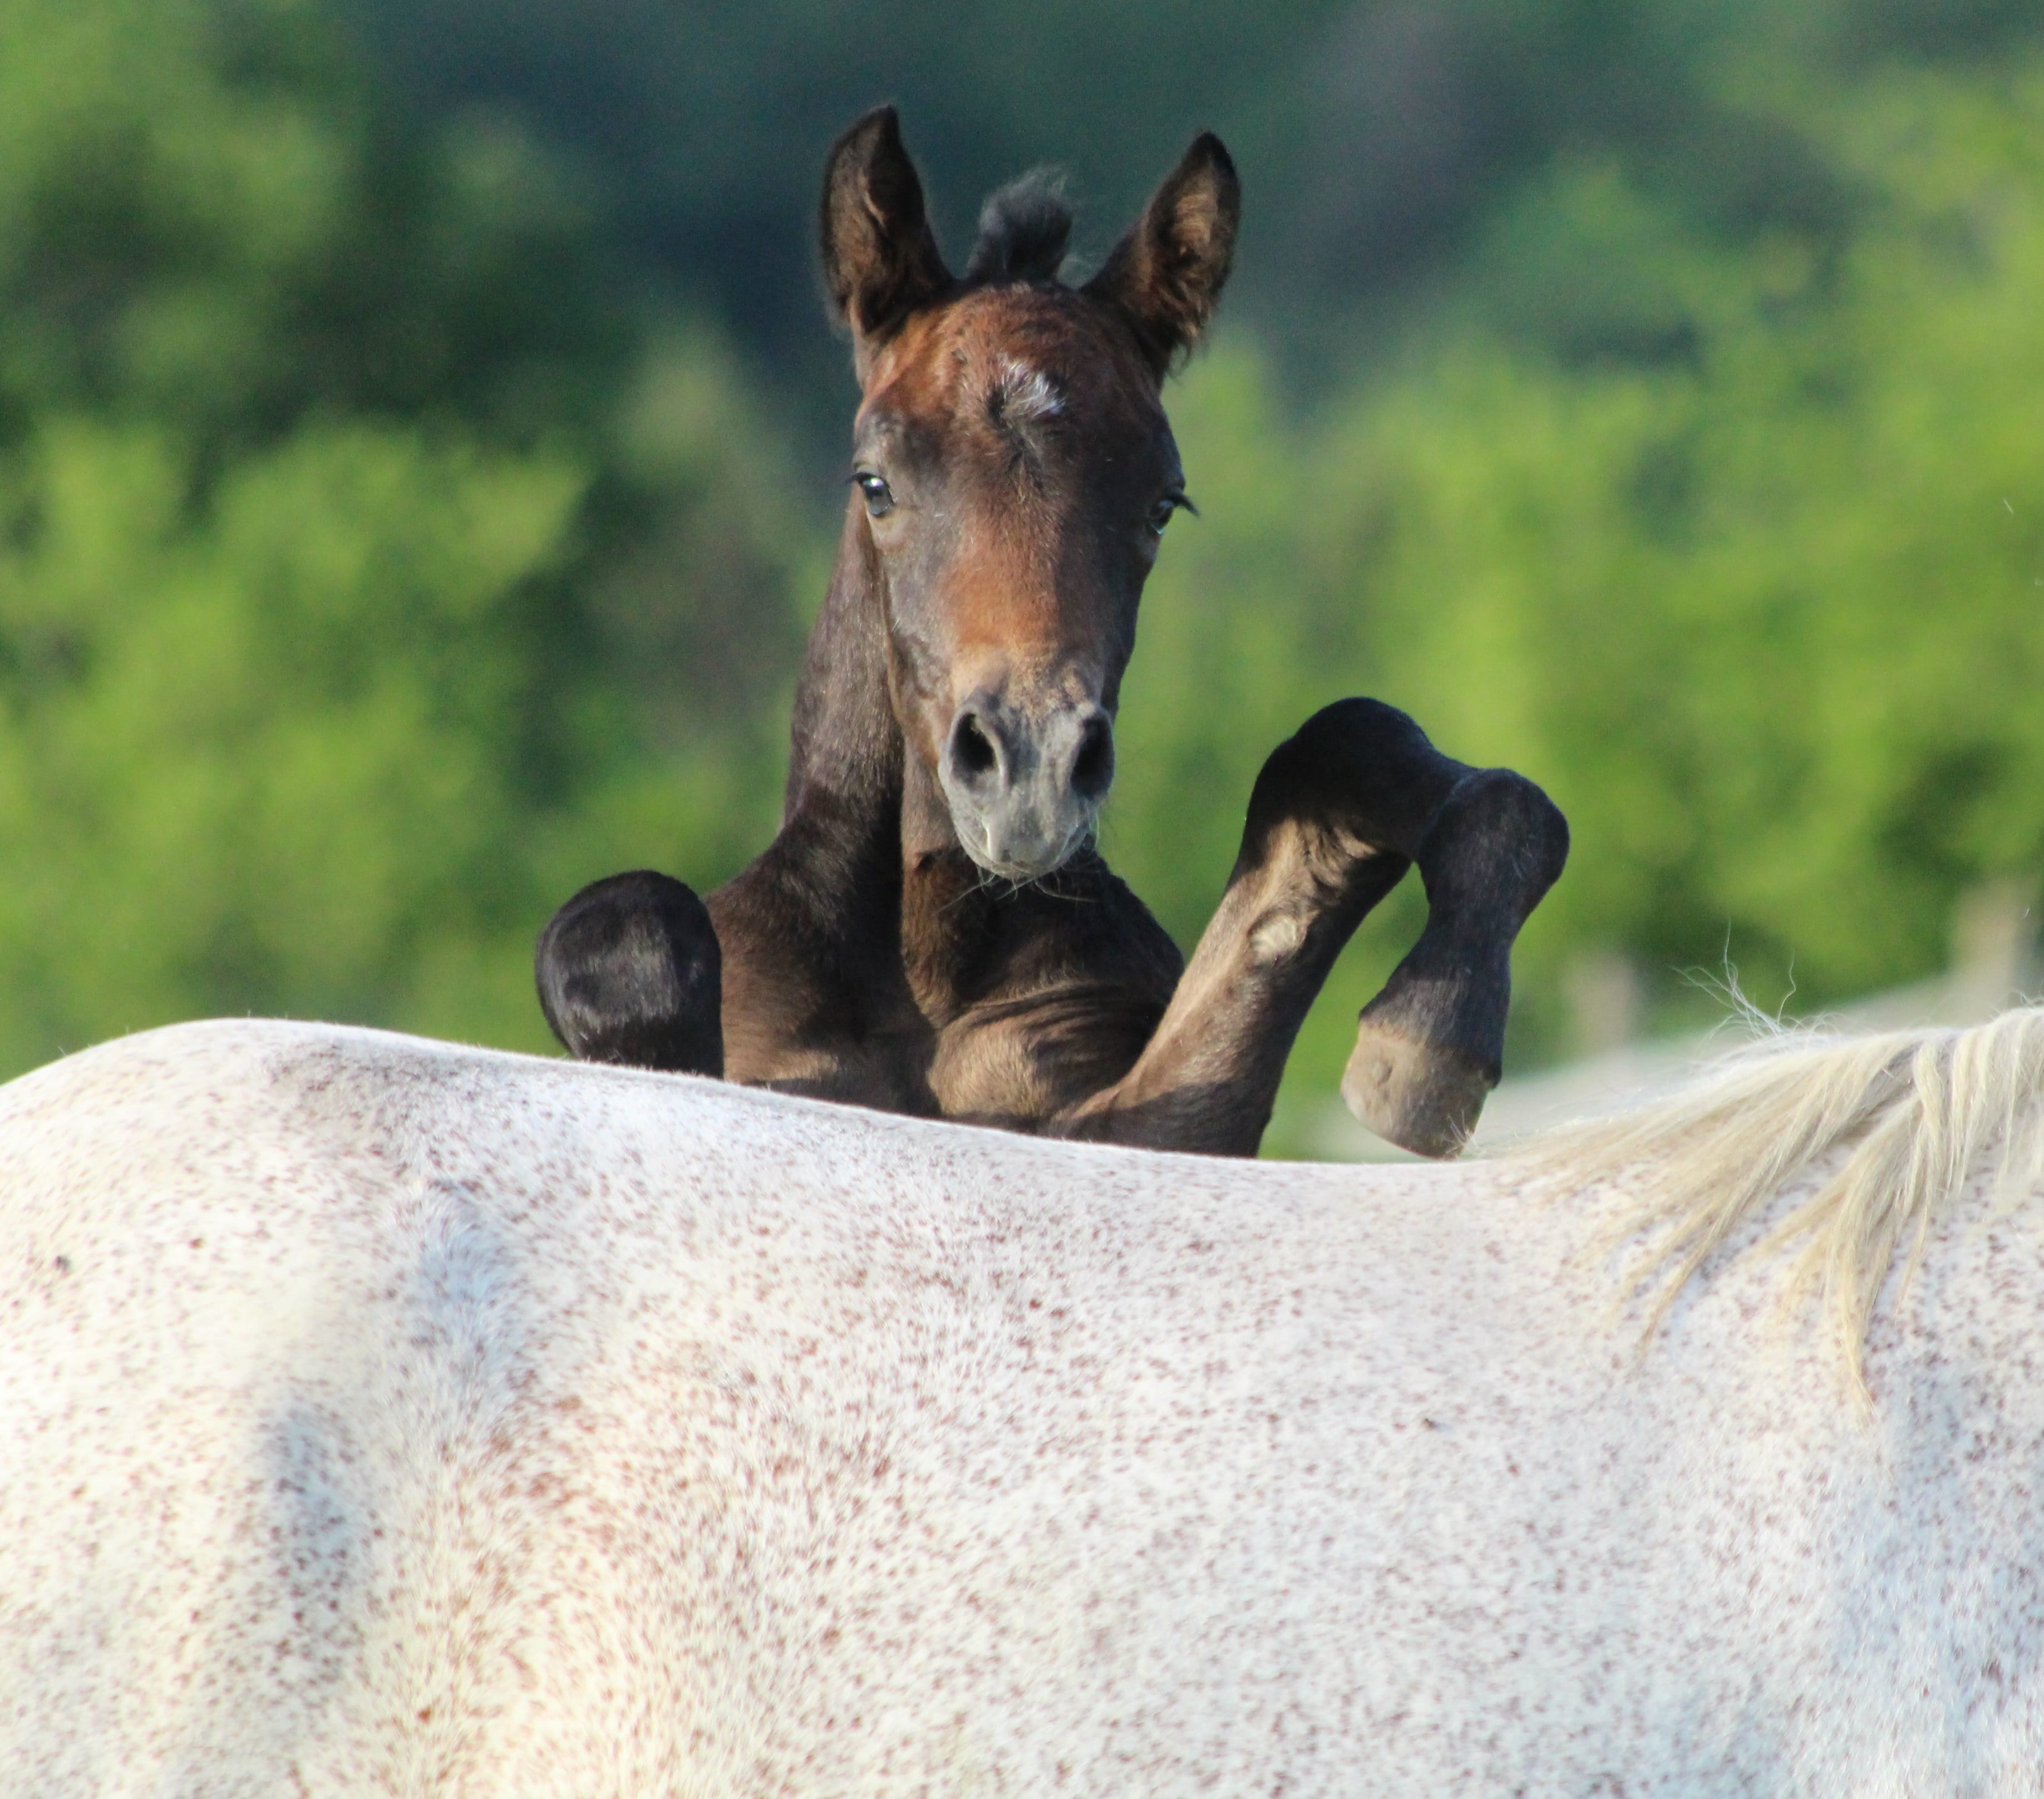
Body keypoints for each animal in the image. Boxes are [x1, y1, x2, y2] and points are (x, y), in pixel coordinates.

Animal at [539, 109, 1562, 1153]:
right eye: (874, 483)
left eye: (1163, 504)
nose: (1029, 775)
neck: (928, 967)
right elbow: (626, 925)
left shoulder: (1123, 1121)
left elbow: (1355, 748)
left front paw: (1428, 1038)